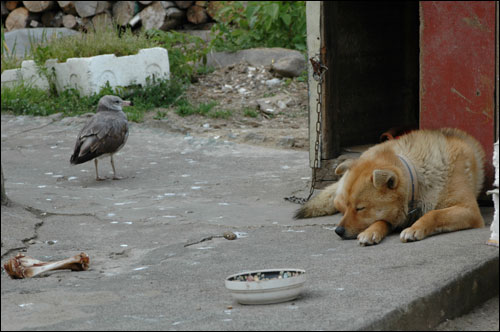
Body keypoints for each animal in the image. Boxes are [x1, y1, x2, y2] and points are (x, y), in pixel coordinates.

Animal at [294, 128, 486, 245]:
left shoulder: (469, 210)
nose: (338, 231)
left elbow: (434, 214)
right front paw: (372, 231)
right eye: (349, 207)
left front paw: (415, 228)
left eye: (360, 208)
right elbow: (381, 220)